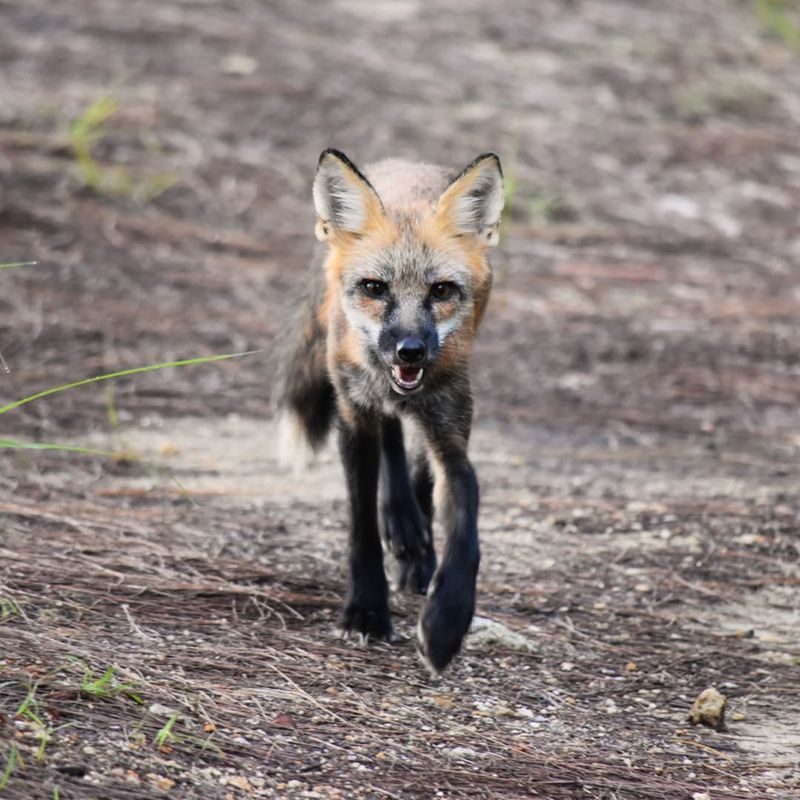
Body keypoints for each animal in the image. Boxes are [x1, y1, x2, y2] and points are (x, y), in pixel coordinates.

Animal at [275, 148, 504, 674]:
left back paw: (415, 546)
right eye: (375, 287)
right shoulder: (353, 415)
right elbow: (360, 527)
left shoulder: (448, 422)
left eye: (441, 291)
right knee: (391, 442)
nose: (410, 351)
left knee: (410, 457)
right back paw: (400, 523)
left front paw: (446, 621)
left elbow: (466, 511)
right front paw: (366, 610)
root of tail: (404, 162)